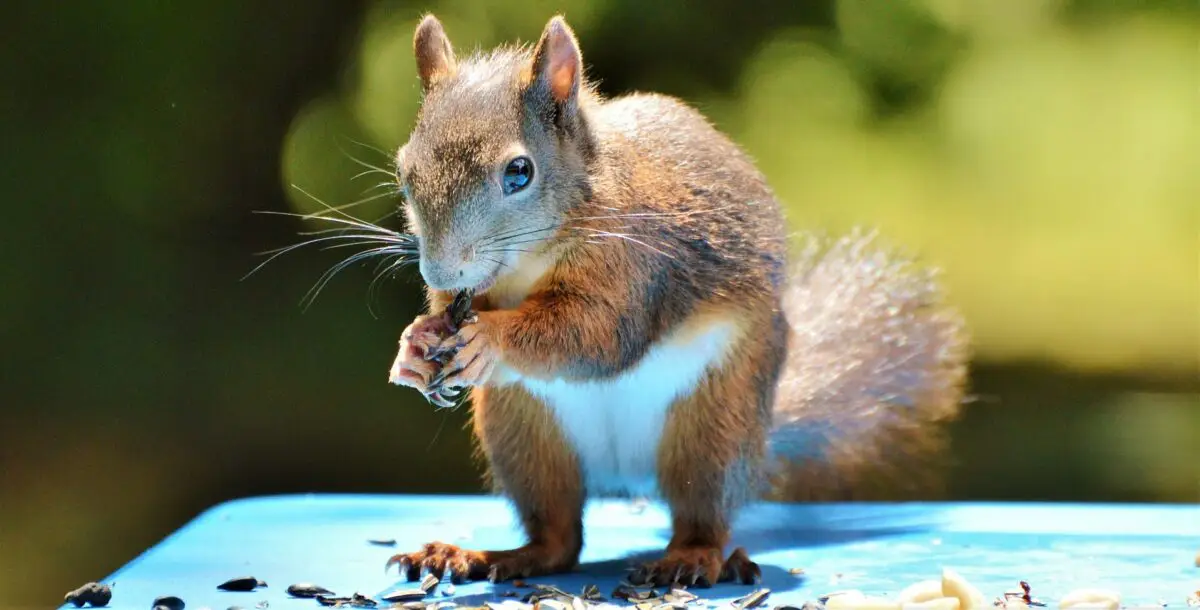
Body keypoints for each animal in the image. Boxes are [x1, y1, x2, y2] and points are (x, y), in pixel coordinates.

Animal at [386, 13, 974, 585]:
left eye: (519, 172)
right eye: (403, 169)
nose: (439, 268)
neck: (529, 259)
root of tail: (627, 478)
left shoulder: (638, 269)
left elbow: (597, 336)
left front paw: (488, 337)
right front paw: (415, 344)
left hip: (714, 423)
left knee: (700, 512)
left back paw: (690, 559)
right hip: (523, 431)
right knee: (559, 539)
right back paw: (482, 556)